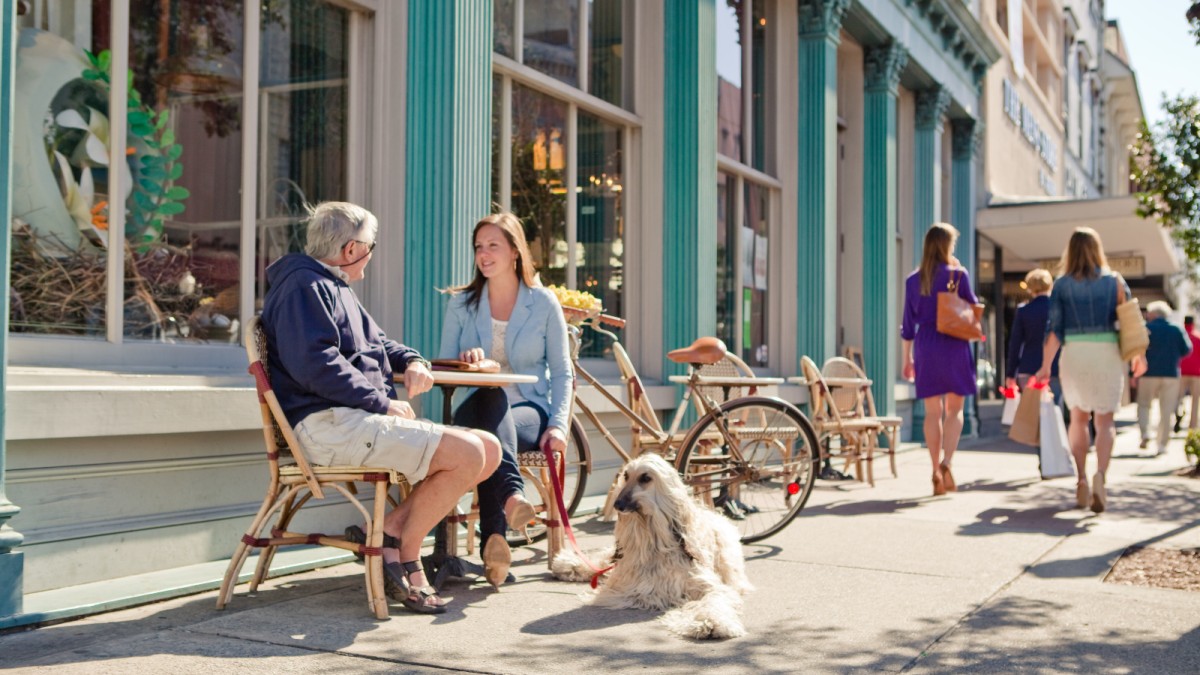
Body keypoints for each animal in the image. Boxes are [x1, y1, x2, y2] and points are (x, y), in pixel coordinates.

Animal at [549, 451, 748, 634]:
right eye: (626, 476)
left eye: (645, 478)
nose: (617, 505)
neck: (652, 540)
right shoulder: (627, 580)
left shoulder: (704, 583)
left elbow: (714, 598)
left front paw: (709, 622)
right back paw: (567, 564)